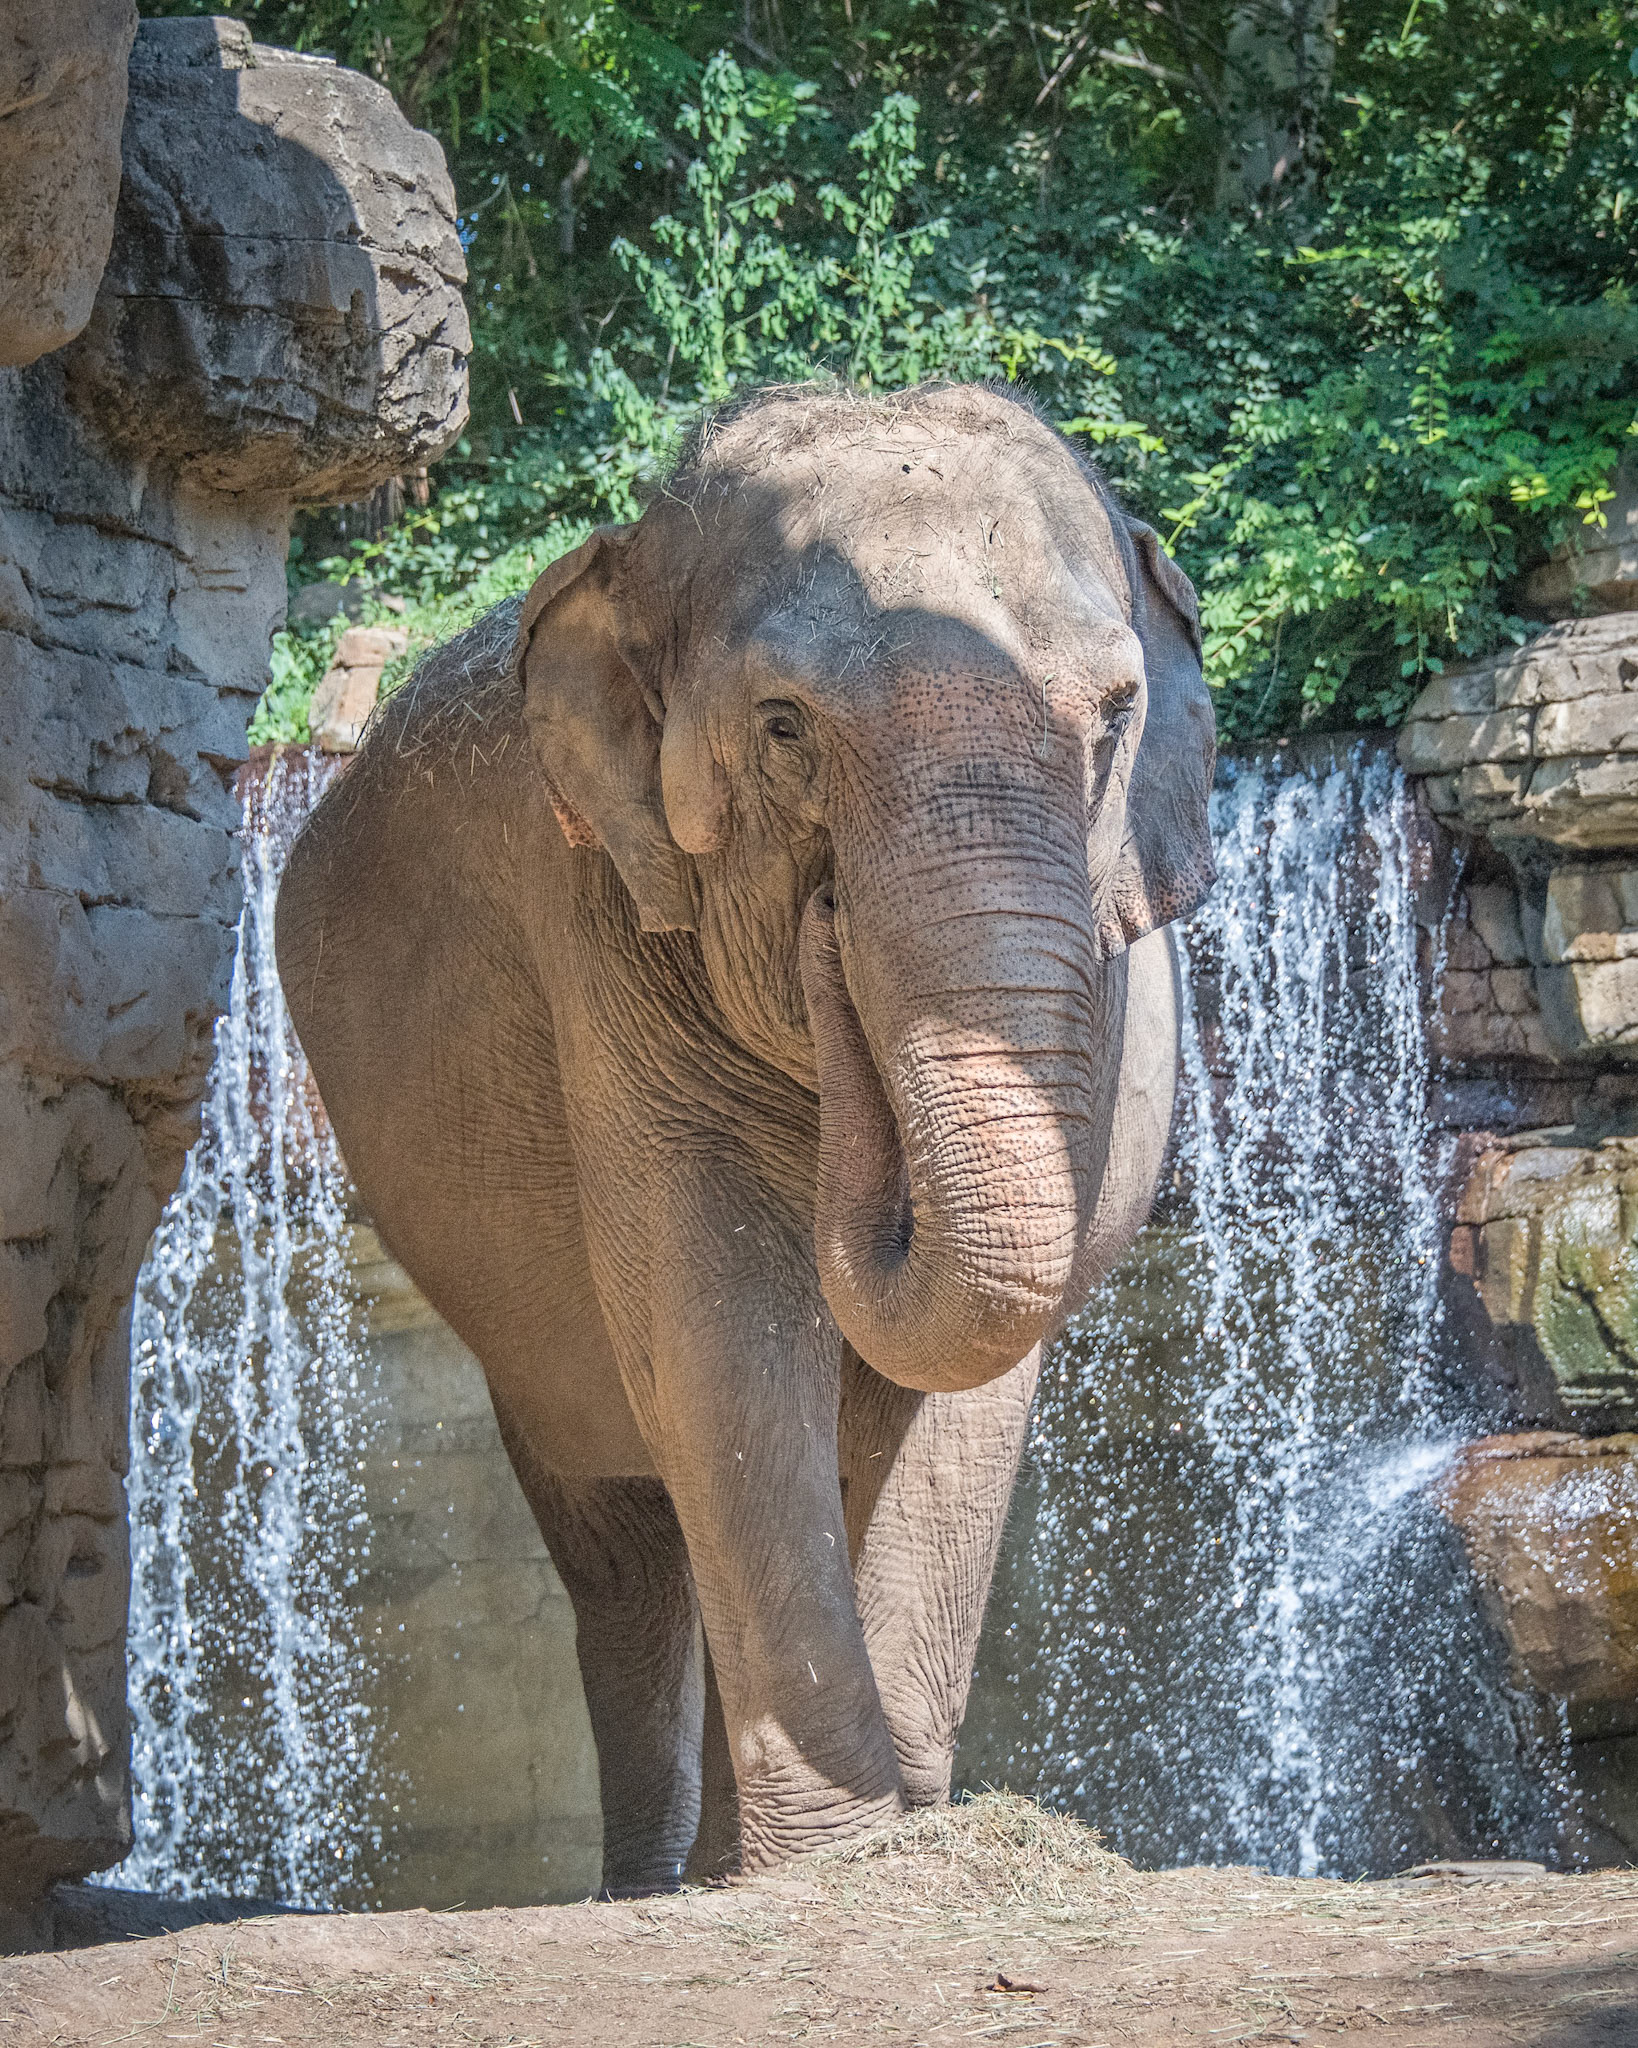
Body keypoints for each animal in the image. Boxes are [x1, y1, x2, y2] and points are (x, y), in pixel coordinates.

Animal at [275, 380, 1215, 1893]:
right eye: (784, 728)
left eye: (1115, 716)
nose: (830, 936)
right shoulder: (603, 931)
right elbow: (716, 1332)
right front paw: (841, 1859)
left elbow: (963, 1400)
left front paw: (897, 1840)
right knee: (625, 1540)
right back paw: (660, 1880)